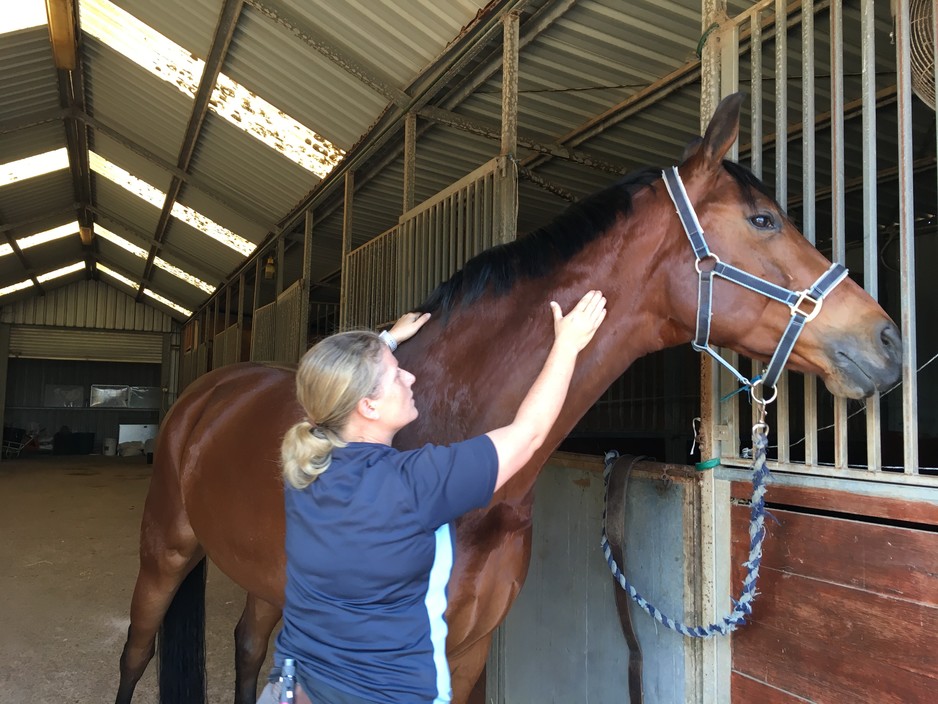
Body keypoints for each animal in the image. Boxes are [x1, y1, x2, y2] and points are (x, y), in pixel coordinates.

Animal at [115, 95, 900, 704]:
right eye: (763, 221)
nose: (888, 340)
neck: (447, 429)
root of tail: (210, 391)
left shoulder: (466, 653)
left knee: (249, 646)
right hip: (162, 546)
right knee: (136, 652)